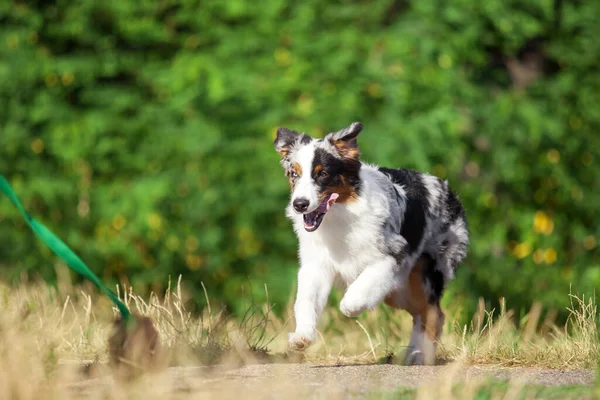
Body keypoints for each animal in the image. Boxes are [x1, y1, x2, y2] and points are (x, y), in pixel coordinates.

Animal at [274, 122, 472, 366]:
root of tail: (450, 192)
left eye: (323, 174)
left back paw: (420, 355)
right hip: (398, 292)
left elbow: (360, 288)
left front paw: (350, 307)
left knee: (434, 313)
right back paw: (413, 353)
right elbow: (306, 301)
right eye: (294, 174)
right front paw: (302, 337)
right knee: (422, 312)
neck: (339, 217)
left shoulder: (392, 256)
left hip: (421, 274)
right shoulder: (316, 267)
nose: (299, 204)